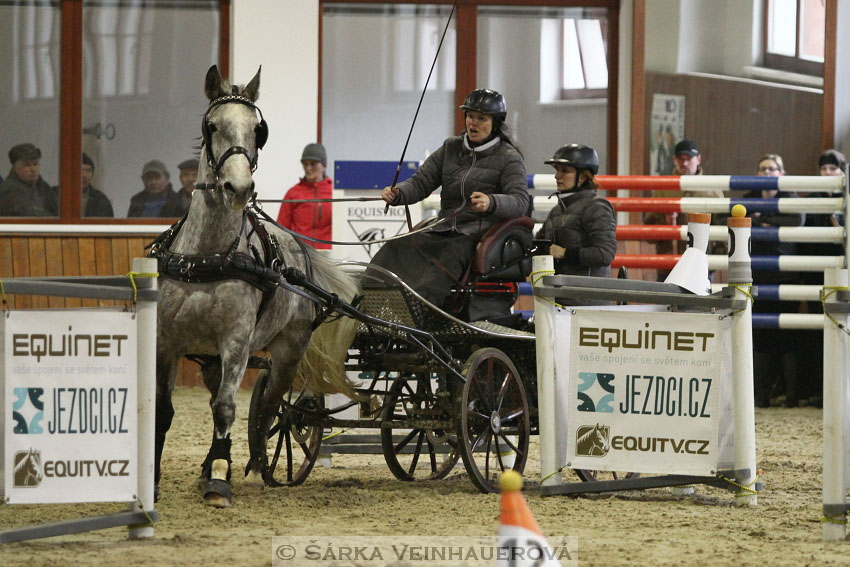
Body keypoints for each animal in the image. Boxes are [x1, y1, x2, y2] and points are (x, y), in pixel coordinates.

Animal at [154, 66, 356, 510]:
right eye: (211, 125)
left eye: (257, 130)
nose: (239, 189)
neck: (208, 256)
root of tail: (299, 250)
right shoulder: (166, 341)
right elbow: (164, 409)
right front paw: (155, 481)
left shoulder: (236, 340)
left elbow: (229, 408)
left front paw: (219, 480)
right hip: (211, 359)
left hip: (288, 350)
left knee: (271, 406)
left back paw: (258, 464)